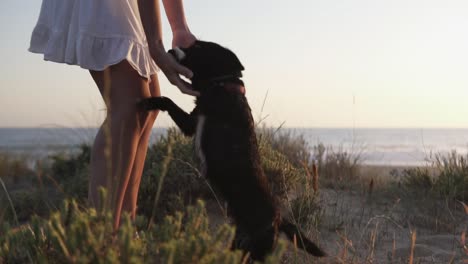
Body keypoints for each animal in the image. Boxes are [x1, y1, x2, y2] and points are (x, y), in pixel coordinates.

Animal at [137, 40, 326, 260]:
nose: (170, 50)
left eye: (198, 48)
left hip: (257, 250)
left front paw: (148, 102)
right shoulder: (192, 123)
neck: (222, 86)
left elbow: (167, 100)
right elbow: (169, 102)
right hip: (239, 244)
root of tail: (279, 218)